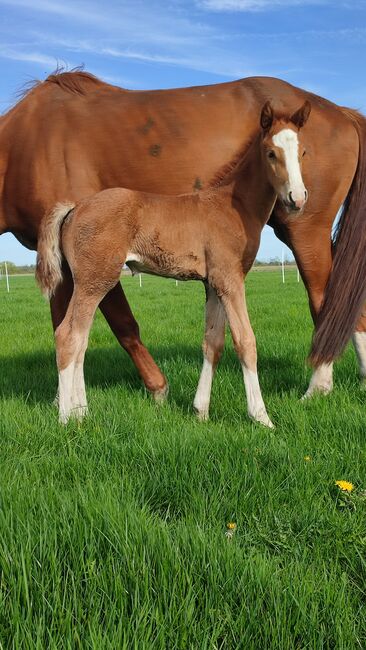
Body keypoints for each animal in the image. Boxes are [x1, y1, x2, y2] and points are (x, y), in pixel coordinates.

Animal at [36, 101, 308, 426]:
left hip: (89, 282)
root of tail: (75, 207)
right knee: (68, 336)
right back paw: (67, 418)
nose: (297, 198)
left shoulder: (212, 283)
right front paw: (261, 417)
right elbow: (245, 342)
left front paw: (200, 411)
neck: (234, 206)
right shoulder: (230, 279)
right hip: (94, 280)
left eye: (303, 152)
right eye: (270, 153)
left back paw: (82, 411)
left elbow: (212, 343)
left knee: (82, 338)